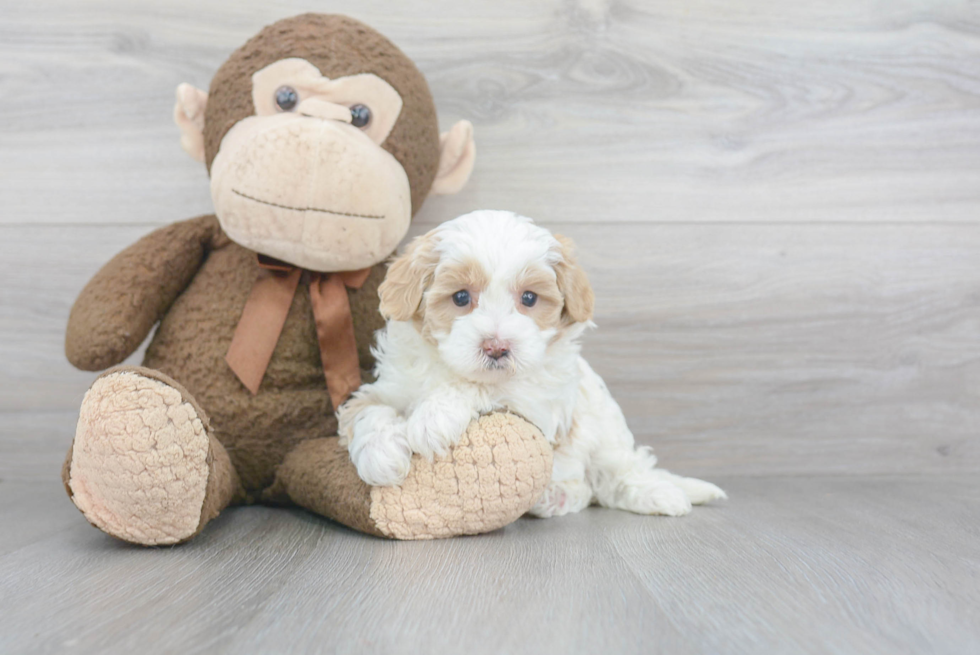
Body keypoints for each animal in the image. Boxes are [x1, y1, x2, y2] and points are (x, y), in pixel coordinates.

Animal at [338, 210, 728, 516]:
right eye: (461, 297)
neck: (447, 368)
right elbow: (369, 411)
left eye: (529, 298)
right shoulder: (385, 387)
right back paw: (556, 497)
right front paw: (381, 456)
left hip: (608, 433)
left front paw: (433, 418)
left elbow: (479, 387)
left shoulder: (535, 405)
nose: (497, 348)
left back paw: (658, 494)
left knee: (617, 476)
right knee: (589, 490)